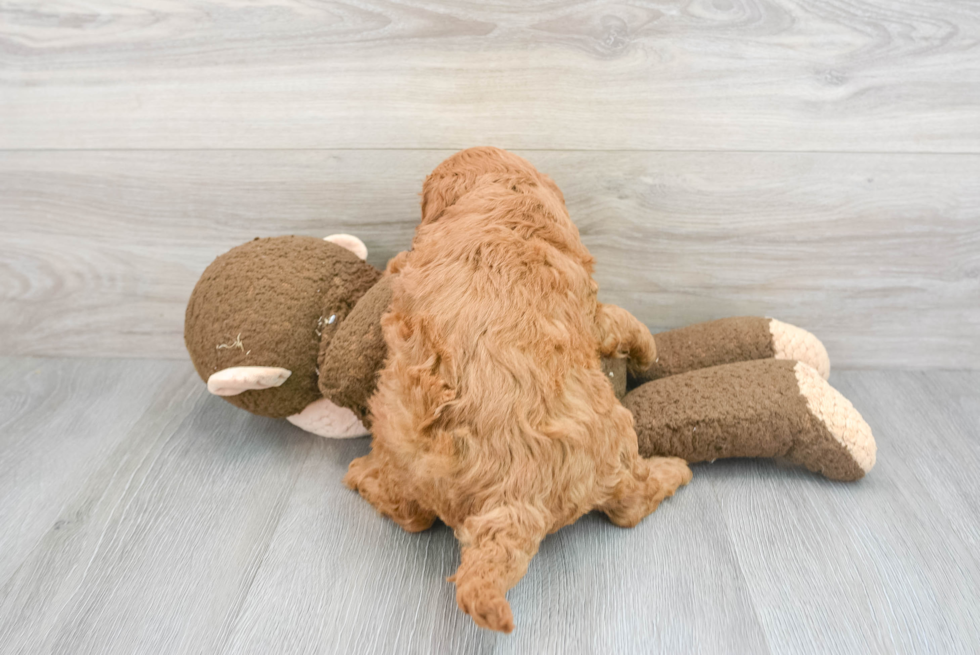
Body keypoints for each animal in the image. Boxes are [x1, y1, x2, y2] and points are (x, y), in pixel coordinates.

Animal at [342, 147, 688, 632]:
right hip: (614, 443)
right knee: (630, 504)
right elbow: (621, 320)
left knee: (412, 515)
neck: (506, 199)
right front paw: (647, 350)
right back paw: (675, 469)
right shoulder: (591, 309)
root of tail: (515, 500)